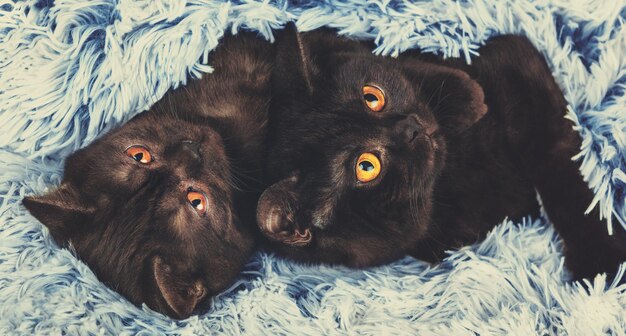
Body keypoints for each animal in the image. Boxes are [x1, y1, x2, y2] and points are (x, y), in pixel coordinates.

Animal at [258, 24, 624, 280]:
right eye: (366, 166)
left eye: (372, 97)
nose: (410, 127)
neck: (451, 176)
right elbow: (555, 158)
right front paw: (603, 266)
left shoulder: (511, 57)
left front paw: (468, 96)